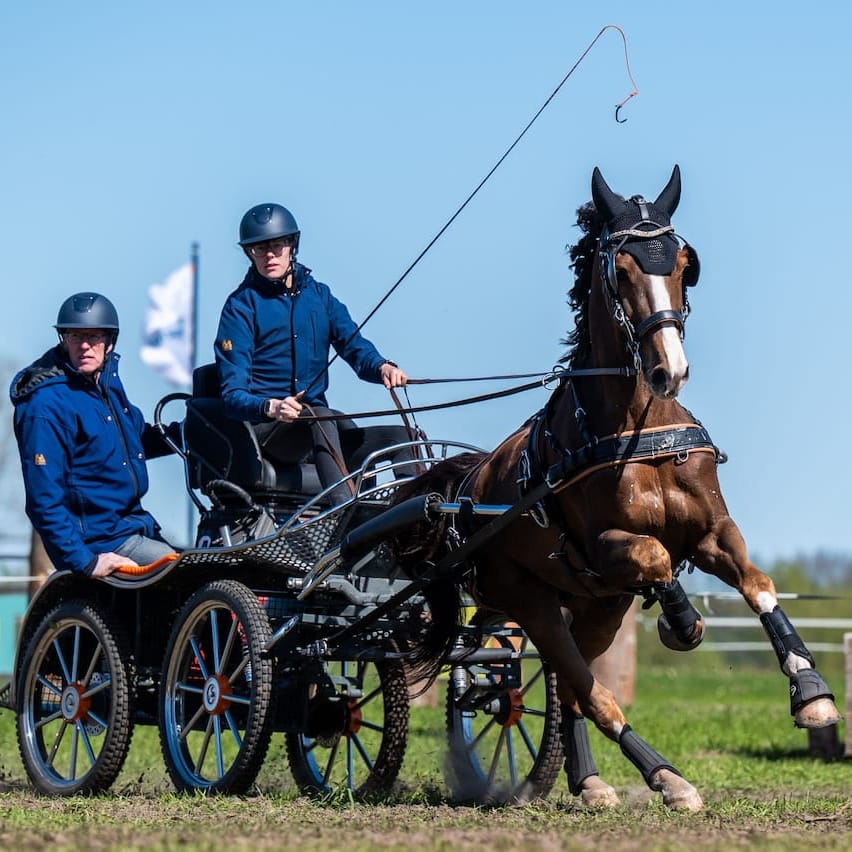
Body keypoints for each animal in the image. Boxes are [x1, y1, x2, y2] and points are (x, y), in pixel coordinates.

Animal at [392, 165, 841, 811]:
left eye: (683, 263)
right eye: (621, 270)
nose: (669, 370)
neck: (635, 428)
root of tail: (467, 493)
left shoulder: (713, 531)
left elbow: (757, 584)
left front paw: (812, 692)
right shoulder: (607, 545)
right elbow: (656, 556)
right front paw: (680, 619)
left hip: (596, 607)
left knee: (571, 686)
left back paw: (590, 779)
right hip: (533, 603)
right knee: (588, 688)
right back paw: (666, 777)